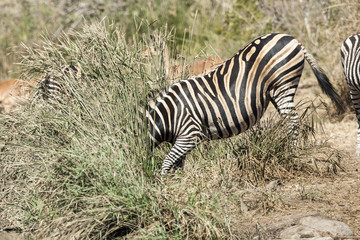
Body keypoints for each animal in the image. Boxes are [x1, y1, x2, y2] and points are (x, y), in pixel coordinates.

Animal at [148, 32, 344, 174]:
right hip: (277, 90)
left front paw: (166, 182)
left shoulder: (190, 132)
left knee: (292, 119)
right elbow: (178, 161)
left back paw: (291, 153)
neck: (170, 114)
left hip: (283, 82)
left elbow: (169, 161)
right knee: (288, 118)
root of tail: (292, 39)